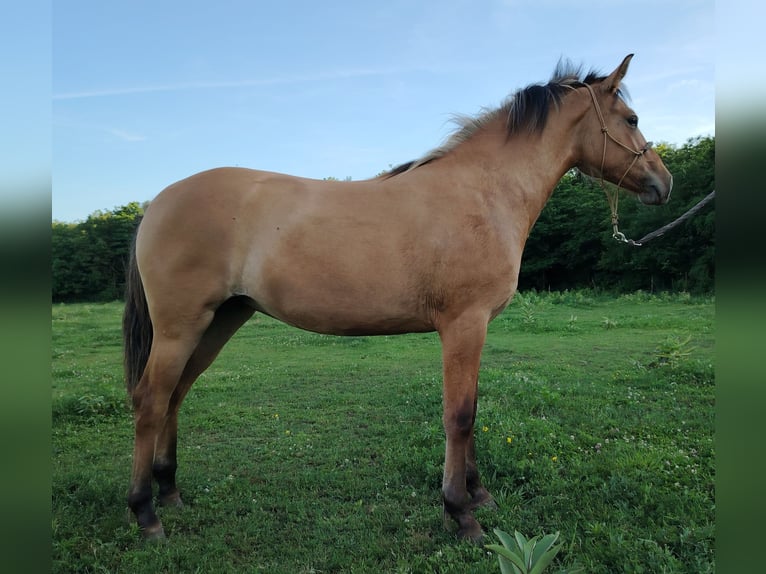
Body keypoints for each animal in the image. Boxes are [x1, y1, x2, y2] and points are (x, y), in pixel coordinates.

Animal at [124, 55, 672, 544]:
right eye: (631, 119)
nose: (664, 183)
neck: (483, 193)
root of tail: (157, 203)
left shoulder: (474, 329)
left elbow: (472, 409)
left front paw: (478, 495)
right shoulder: (464, 324)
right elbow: (459, 416)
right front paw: (461, 513)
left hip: (219, 321)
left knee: (175, 396)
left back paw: (170, 492)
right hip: (180, 327)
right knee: (150, 401)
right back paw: (146, 514)